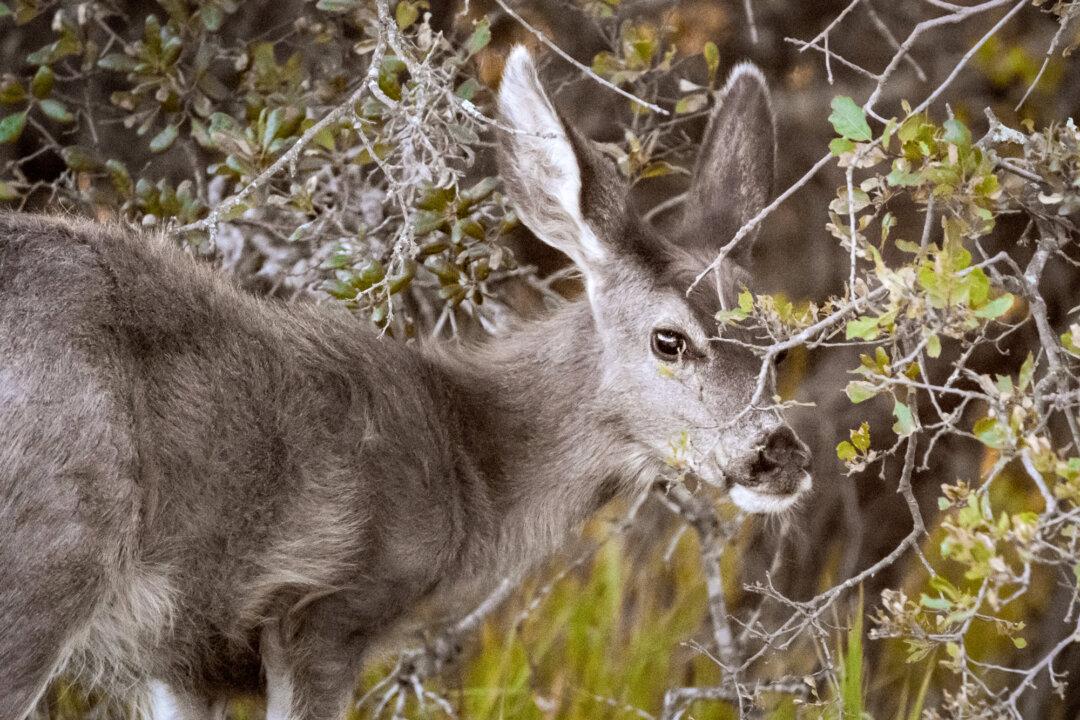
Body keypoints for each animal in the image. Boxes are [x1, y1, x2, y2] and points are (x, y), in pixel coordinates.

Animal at [0, 46, 811, 720]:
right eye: (669, 339)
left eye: (781, 345)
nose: (780, 455)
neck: (467, 464)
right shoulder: (325, 609)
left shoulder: (186, 658)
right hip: (50, 550)